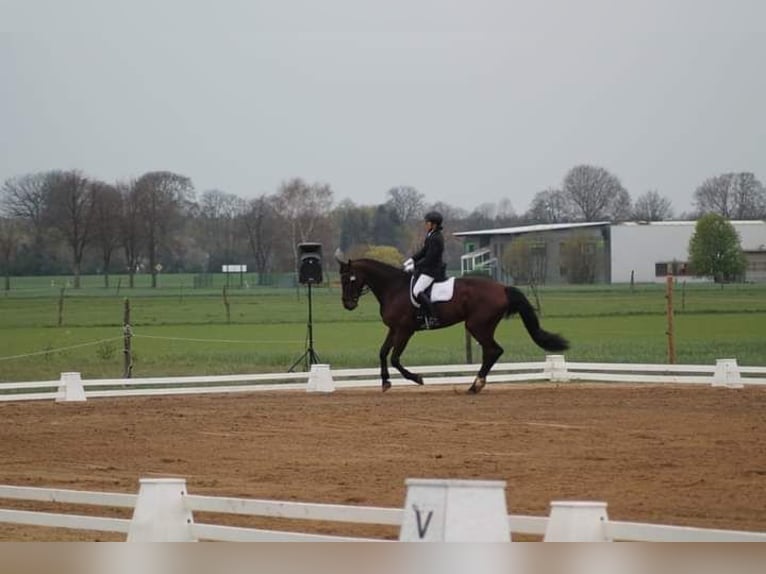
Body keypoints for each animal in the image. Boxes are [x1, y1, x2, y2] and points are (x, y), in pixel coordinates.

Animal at [336, 252, 568, 396]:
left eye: (349, 279)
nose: (348, 304)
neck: (393, 288)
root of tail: (502, 288)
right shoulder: (394, 328)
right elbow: (383, 353)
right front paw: (385, 382)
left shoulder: (405, 330)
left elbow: (394, 358)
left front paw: (417, 378)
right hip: (481, 327)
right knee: (492, 351)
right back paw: (476, 385)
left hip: (476, 326)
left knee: (493, 350)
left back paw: (475, 386)